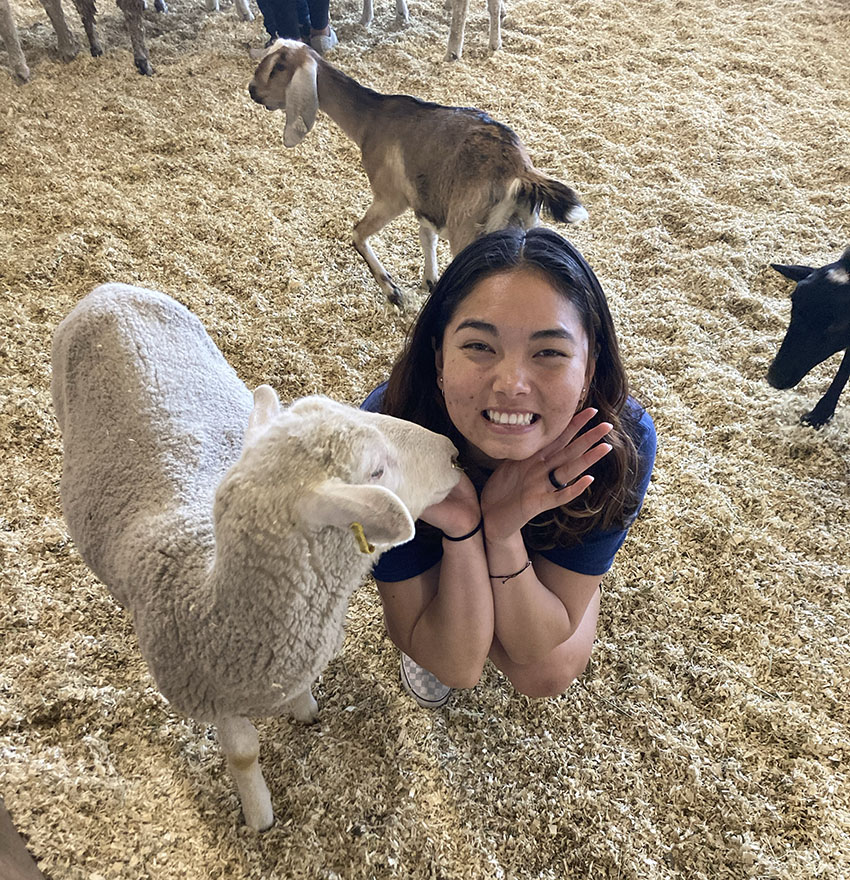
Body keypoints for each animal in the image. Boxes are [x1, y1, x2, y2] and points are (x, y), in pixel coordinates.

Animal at [248, 40, 587, 307]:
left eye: (278, 67)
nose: (252, 90)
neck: (372, 120)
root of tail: (519, 170)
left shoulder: (390, 197)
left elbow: (358, 233)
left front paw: (392, 291)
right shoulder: (425, 201)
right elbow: (427, 236)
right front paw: (430, 281)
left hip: (469, 230)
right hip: (522, 229)